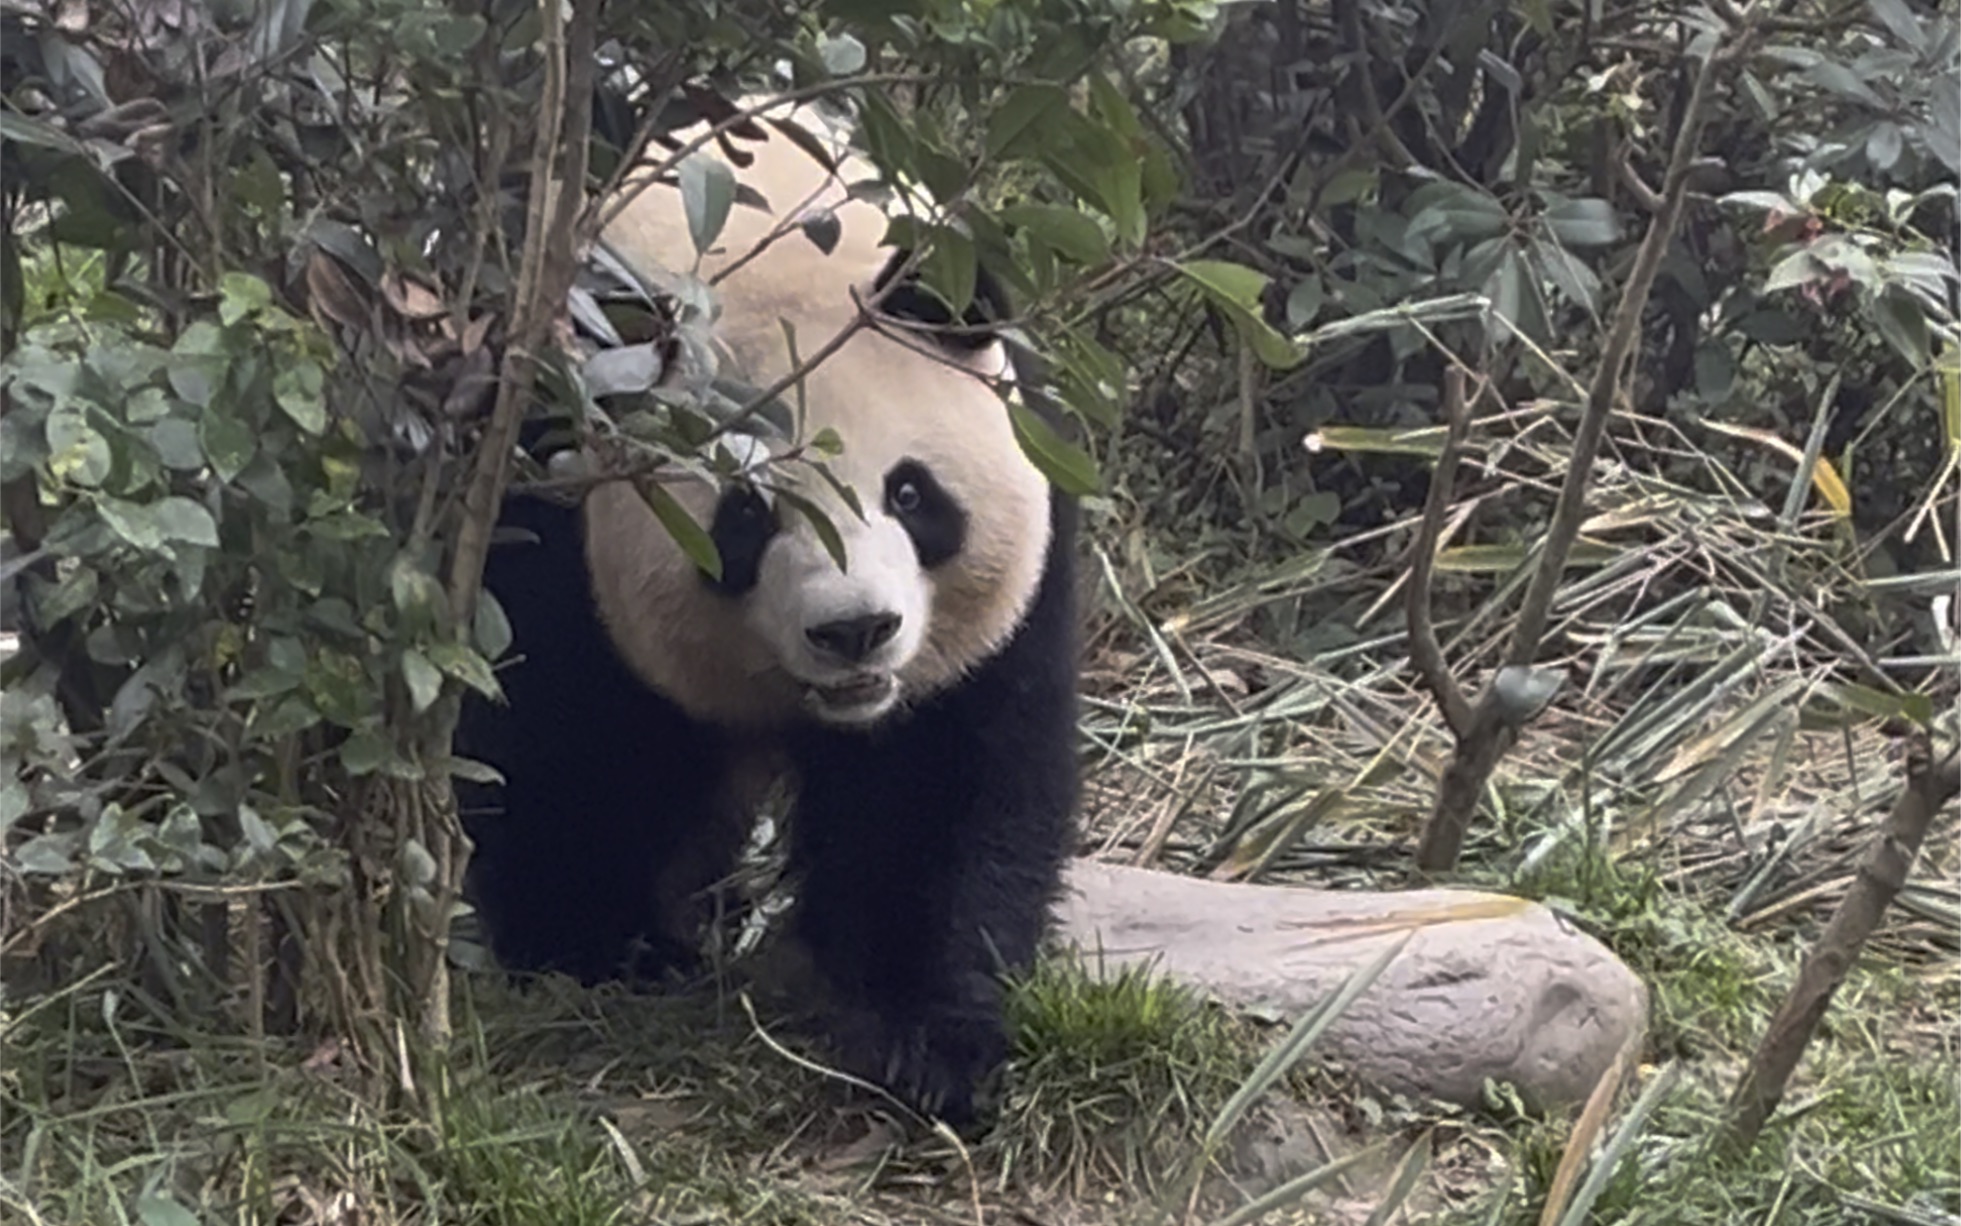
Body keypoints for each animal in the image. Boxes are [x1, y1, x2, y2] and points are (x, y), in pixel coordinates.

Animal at [456, 93, 1082, 1122]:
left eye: (910, 494)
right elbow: (565, 746)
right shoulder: (557, 509)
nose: (855, 631)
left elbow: (940, 789)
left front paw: (929, 1042)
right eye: (745, 518)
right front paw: (605, 948)